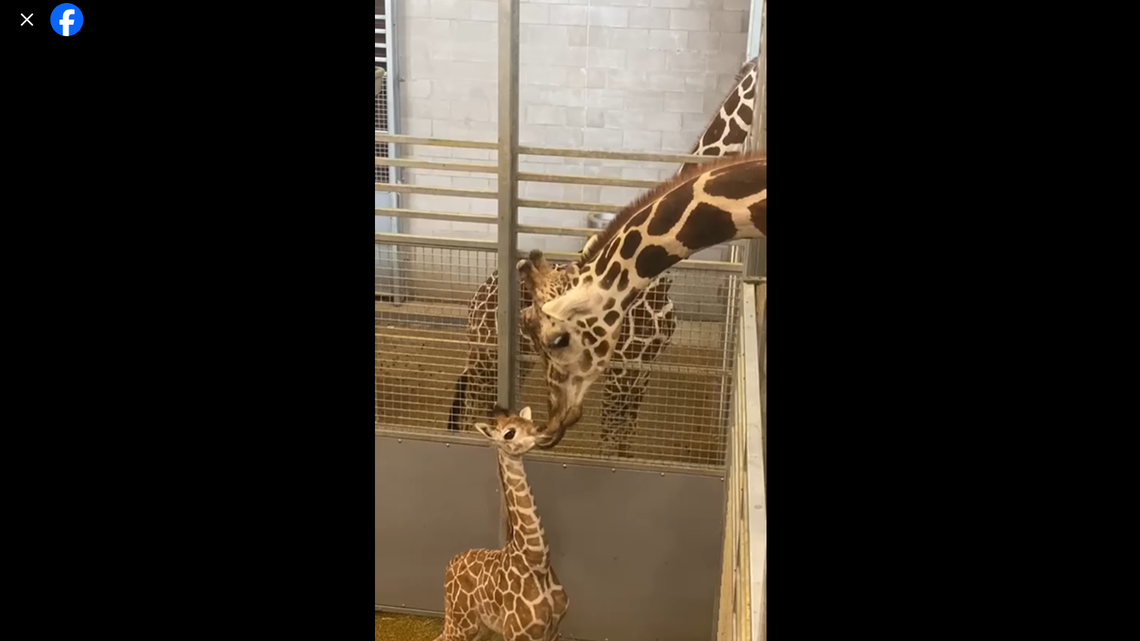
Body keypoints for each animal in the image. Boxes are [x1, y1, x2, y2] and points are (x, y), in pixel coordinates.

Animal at [434, 405, 568, 641]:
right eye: (509, 433)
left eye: (530, 422)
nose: (541, 431)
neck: (536, 563)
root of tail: (449, 565)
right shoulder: (517, 632)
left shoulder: (553, 630)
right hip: (463, 622)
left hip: (481, 627)